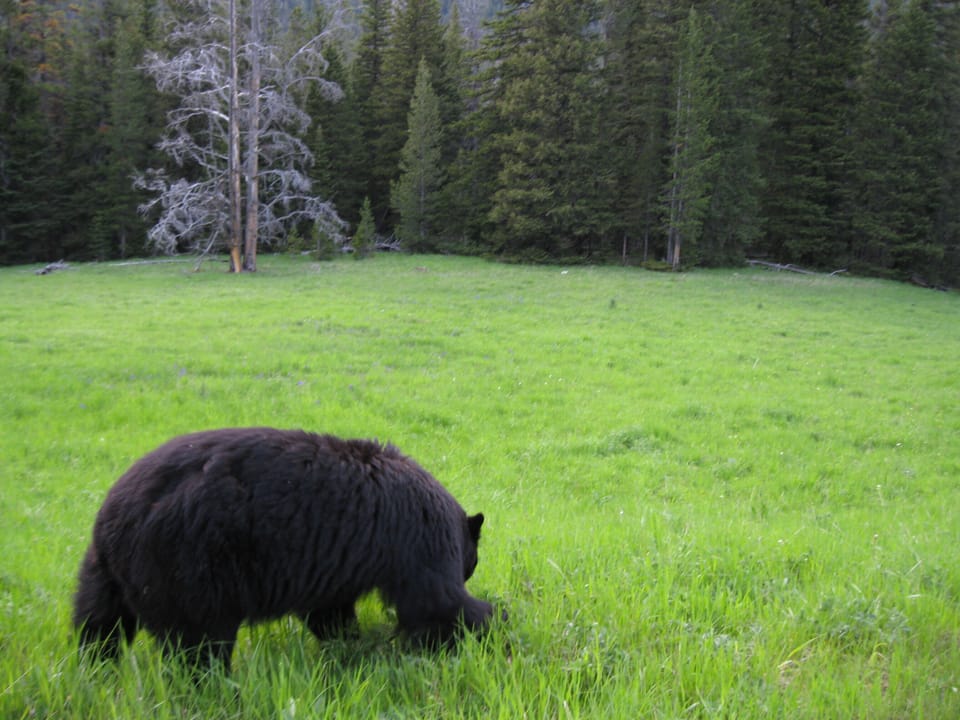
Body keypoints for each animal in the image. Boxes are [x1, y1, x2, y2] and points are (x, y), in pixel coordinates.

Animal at [73, 427, 497, 670]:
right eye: (473, 563)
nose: (469, 569)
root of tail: (111, 517)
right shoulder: (418, 540)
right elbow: (436, 602)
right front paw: (493, 629)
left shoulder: (333, 565)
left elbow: (330, 614)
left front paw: (349, 646)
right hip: (187, 563)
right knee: (199, 642)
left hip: (106, 571)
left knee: (98, 625)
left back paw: (97, 671)